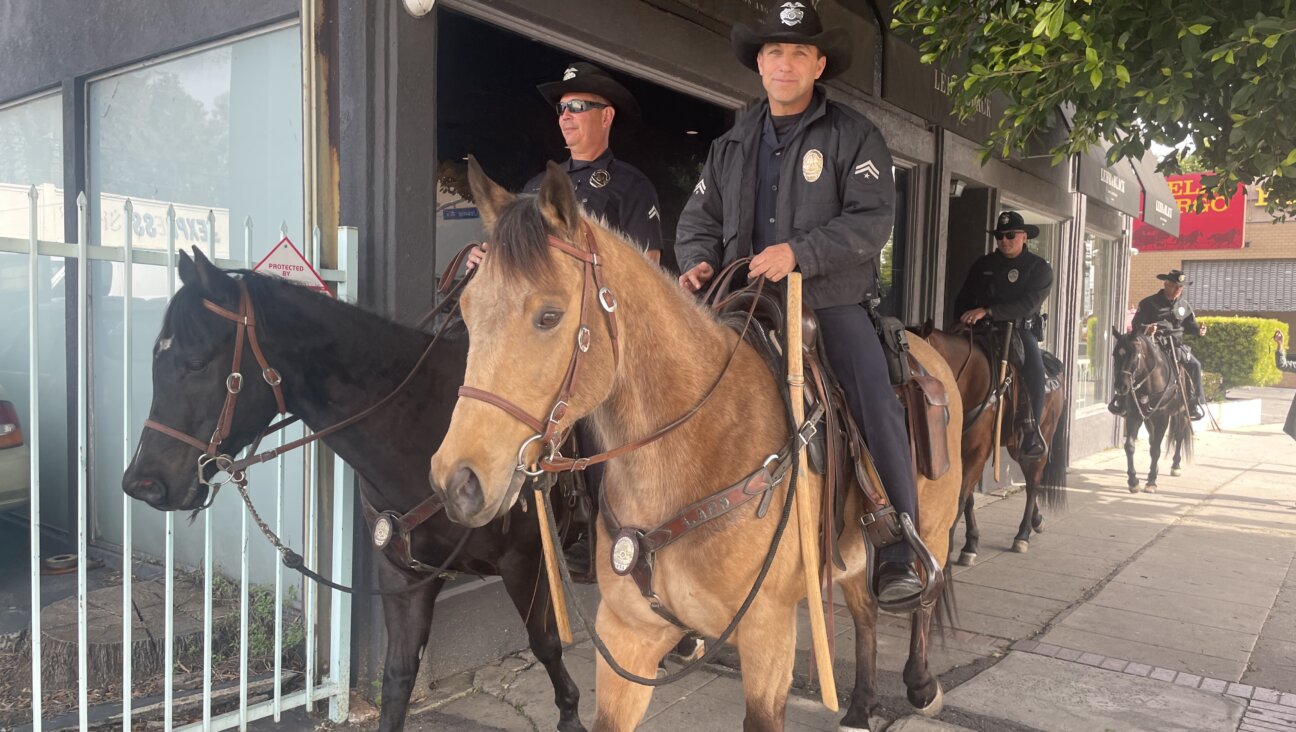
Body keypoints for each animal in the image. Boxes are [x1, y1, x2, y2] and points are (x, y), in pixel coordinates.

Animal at [121, 251, 588, 730]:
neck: (430, 425)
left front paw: (571, 712)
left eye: (196, 362)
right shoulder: (403, 575)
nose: (142, 483)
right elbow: (398, 677)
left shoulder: (526, 562)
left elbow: (546, 643)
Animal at [425, 160, 964, 730]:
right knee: (863, 611)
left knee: (920, 597)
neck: (696, 451)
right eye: (465, 307)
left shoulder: (767, 634)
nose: (457, 481)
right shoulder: (628, 634)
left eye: (548, 315)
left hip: (932, 527)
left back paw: (920, 681)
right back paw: (860, 704)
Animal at [912, 325, 1062, 559]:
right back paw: (1037, 521)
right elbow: (968, 498)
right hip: (1015, 445)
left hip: (1041, 439)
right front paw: (971, 543)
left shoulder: (977, 451)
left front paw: (951, 549)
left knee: (1033, 482)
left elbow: (961, 498)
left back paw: (1023, 534)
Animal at [1109, 329, 1197, 489]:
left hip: (1182, 414)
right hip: (1149, 419)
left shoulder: (1163, 418)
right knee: (1152, 439)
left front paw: (1151, 482)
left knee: (1179, 436)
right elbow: (1130, 446)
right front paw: (1133, 481)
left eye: (1133, 355)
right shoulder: (1134, 416)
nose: (1120, 386)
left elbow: (1156, 449)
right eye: (1115, 354)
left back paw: (1175, 466)